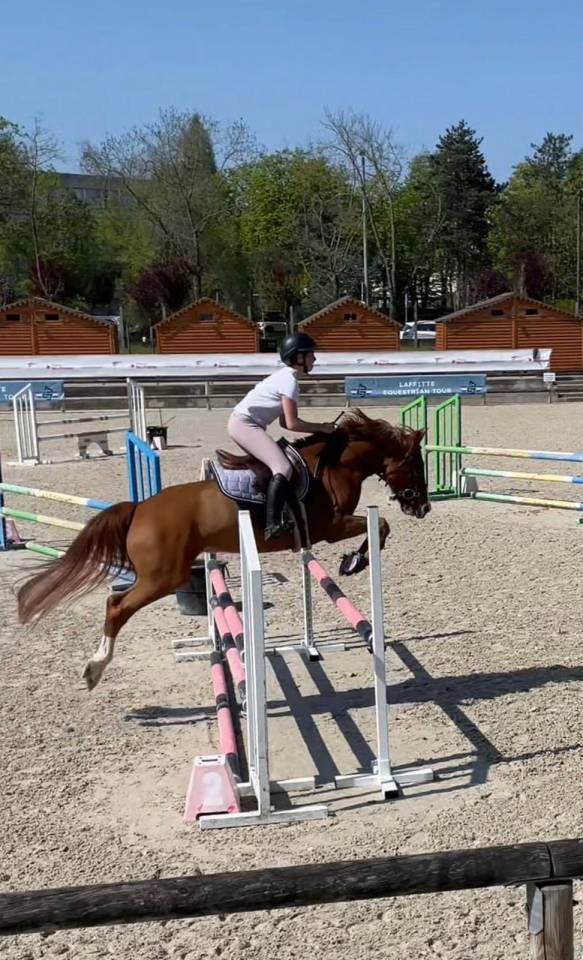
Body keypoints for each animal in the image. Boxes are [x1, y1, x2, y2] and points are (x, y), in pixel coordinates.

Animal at [16, 410, 430, 690]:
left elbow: (380, 525)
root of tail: (140, 508)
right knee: (116, 606)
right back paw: (96, 667)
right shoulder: (332, 527)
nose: (423, 507)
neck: (332, 465)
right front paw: (355, 561)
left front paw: (354, 560)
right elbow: (380, 524)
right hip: (162, 577)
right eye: (415, 463)